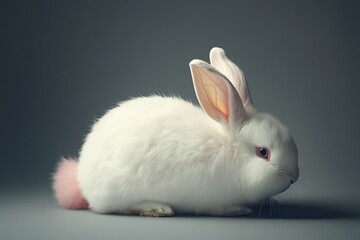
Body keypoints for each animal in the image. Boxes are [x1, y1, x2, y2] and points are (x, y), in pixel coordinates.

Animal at [52, 47, 298, 217]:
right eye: (263, 152)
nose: (294, 177)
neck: (230, 150)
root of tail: (81, 178)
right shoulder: (210, 199)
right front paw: (239, 210)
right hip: (118, 190)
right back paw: (157, 208)